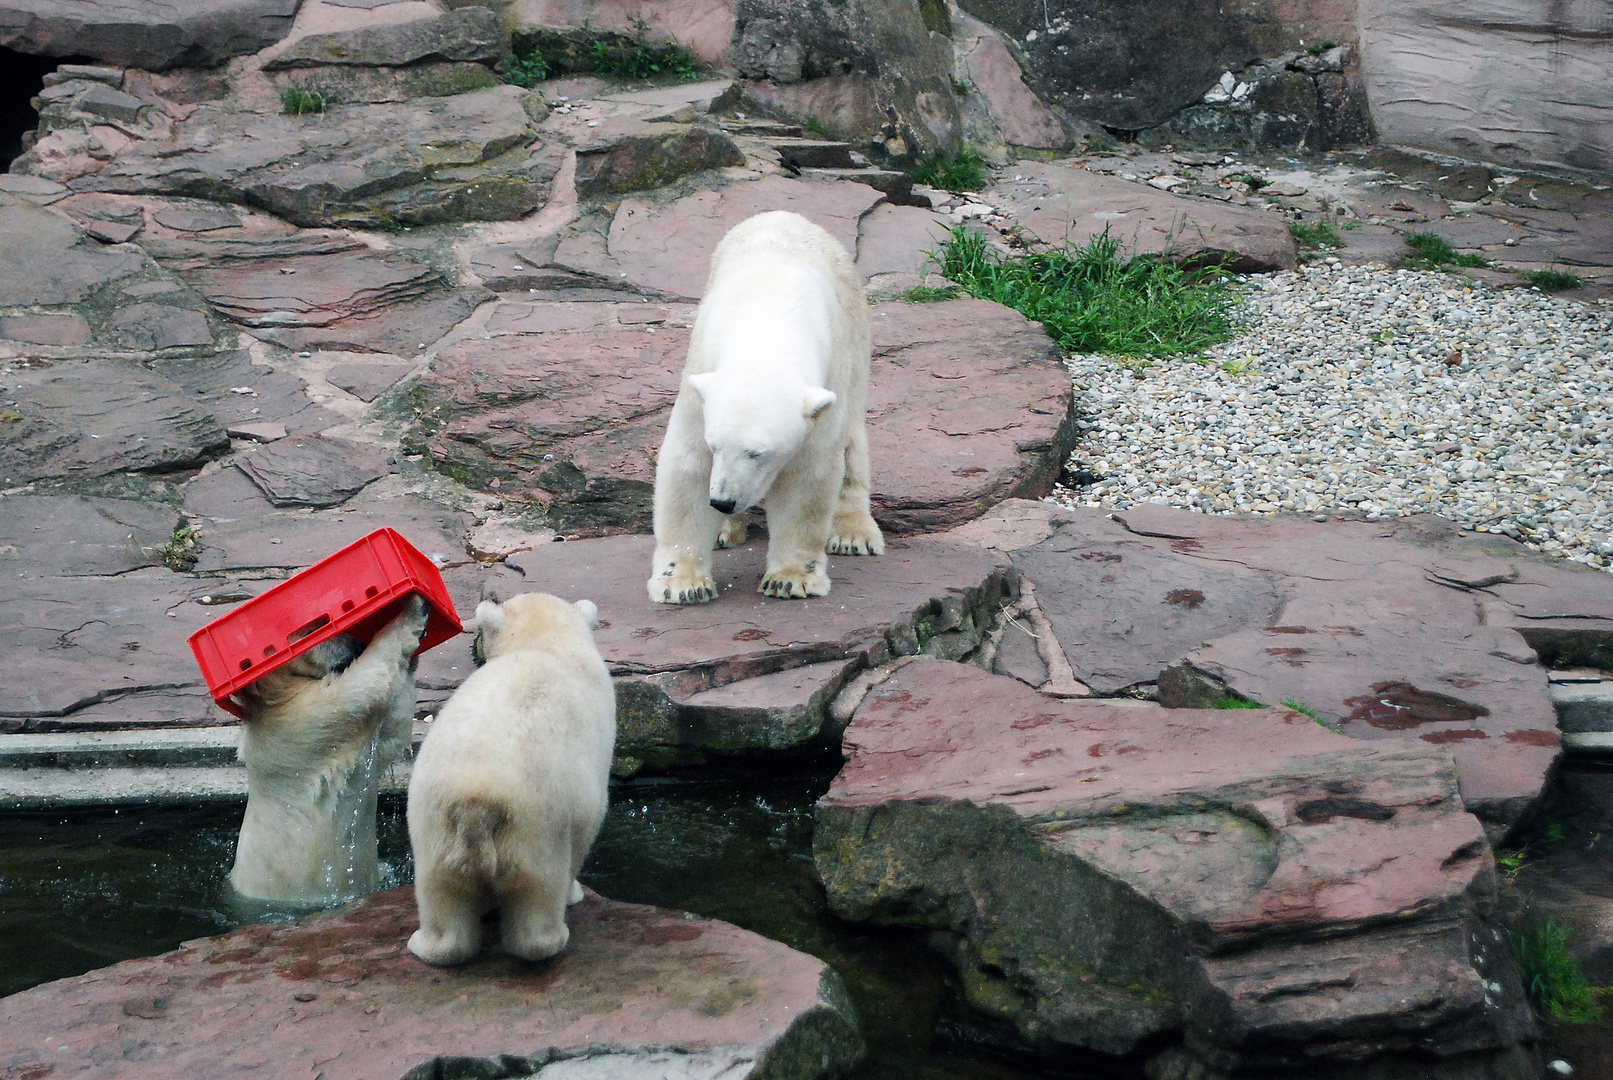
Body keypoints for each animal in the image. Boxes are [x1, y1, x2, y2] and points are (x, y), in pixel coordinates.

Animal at [230, 596, 429, 909]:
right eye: (318, 625)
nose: (354, 643)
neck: (272, 701)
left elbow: (390, 735)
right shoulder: (297, 722)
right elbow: (360, 691)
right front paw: (410, 611)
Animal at [409, 596, 616, 967]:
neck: (544, 643)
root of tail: (476, 802)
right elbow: (587, 829)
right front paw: (575, 892)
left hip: (433, 823)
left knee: (442, 897)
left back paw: (426, 944)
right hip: (534, 830)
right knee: (537, 900)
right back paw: (553, 935)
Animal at [641, 207, 883, 606]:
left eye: (758, 453)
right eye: (715, 446)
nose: (722, 500)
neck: (766, 335)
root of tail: (788, 215)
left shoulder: (824, 385)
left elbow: (809, 475)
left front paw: (790, 579)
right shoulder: (700, 379)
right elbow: (688, 465)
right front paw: (683, 583)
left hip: (855, 329)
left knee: (852, 435)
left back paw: (853, 534)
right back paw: (723, 530)